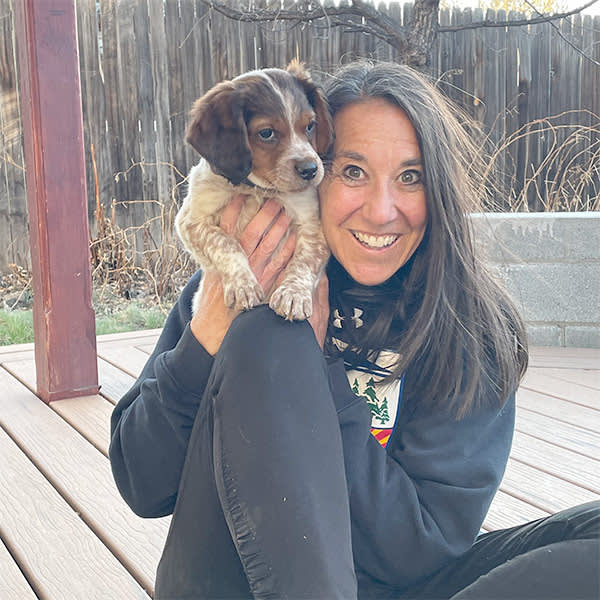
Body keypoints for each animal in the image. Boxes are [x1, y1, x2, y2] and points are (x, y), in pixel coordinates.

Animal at [173, 61, 332, 322]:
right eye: (266, 133)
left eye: (310, 125)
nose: (310, 170)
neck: (259, 191)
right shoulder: (191, 220)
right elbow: (225, 243)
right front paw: (242, 285)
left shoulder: (313, 226)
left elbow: (305, 261)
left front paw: (293, 294)